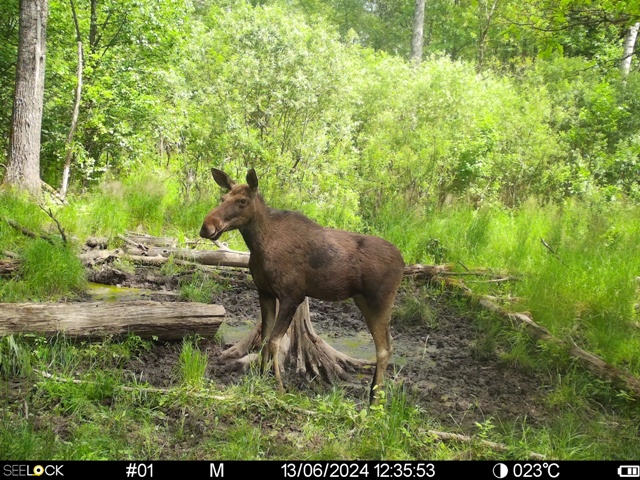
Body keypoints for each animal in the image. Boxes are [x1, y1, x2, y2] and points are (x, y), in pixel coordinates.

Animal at [200, 168, 405, 404]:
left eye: (242, 201)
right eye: (223, 198)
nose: (206, 227)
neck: (259, 246)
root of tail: (403, 262)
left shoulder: (292, 295)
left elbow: (274, 341)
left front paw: (279, 388)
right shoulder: (264, 292)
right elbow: (264, 339)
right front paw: (260, 379)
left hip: (380, 300)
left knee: (384, 348)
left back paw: (375, 401)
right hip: (362, 300)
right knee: (386, 345)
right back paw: (373, 395)